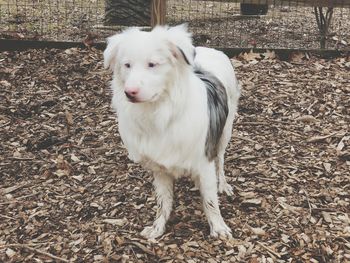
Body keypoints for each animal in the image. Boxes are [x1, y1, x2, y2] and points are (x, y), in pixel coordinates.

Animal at [104, 25, 239, 241]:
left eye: (152, 64)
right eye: (127, 65)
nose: (129, 92)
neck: (160, 113)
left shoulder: (204, 159)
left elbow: (210, 200)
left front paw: (218, 227)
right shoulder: (159, 168)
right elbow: (163, 201)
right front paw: (157, 227)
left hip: (224, 132)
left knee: (220, 160)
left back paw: (223, 185)